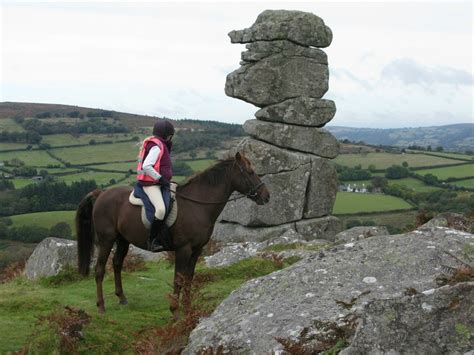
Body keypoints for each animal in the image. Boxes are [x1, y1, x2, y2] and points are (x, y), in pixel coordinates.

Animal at [75, 152, 268, 318]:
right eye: (250, 172)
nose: (267, 196)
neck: (197, 205)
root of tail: (101, 193)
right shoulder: (183, 249)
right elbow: (178, 279)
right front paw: (175, 311)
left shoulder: (196, 250)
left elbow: (189, 278)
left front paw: (188, 309)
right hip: (106, 240)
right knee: (100, 270)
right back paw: (101, 307)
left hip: (123, 240)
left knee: (116, 264)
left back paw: (122, 298)